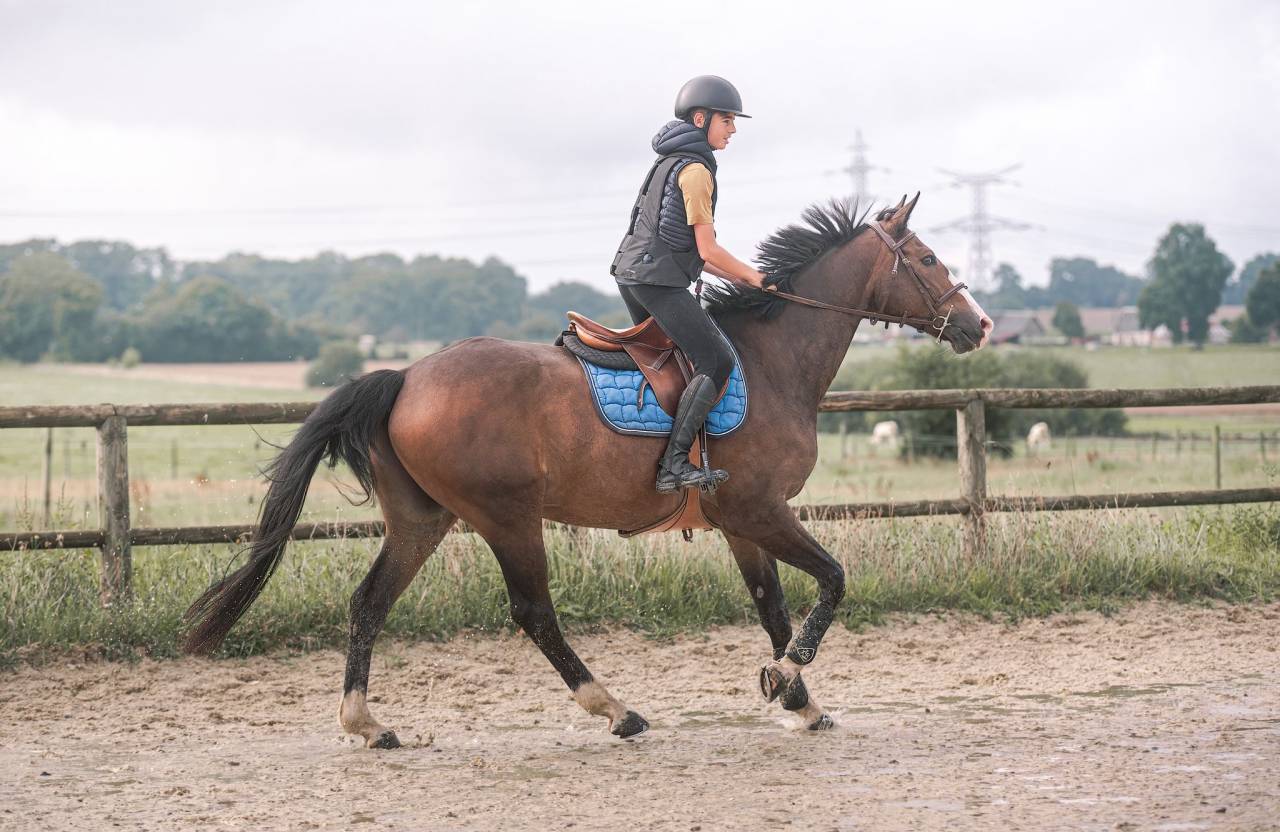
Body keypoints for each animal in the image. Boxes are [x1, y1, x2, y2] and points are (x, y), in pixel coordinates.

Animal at [182, 193, 992, 747]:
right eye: (927, 260)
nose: (979, 324)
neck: (772, 360)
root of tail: (406, 376)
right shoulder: (761, 510)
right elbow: (832, 581)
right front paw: (789, 680)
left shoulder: (741, 524)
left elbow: (773, 608)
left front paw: (797, 698)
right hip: (507, 517)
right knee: (533, 612)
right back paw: (616, 710)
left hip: (423, 519)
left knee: (368, 603)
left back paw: (366, 723)